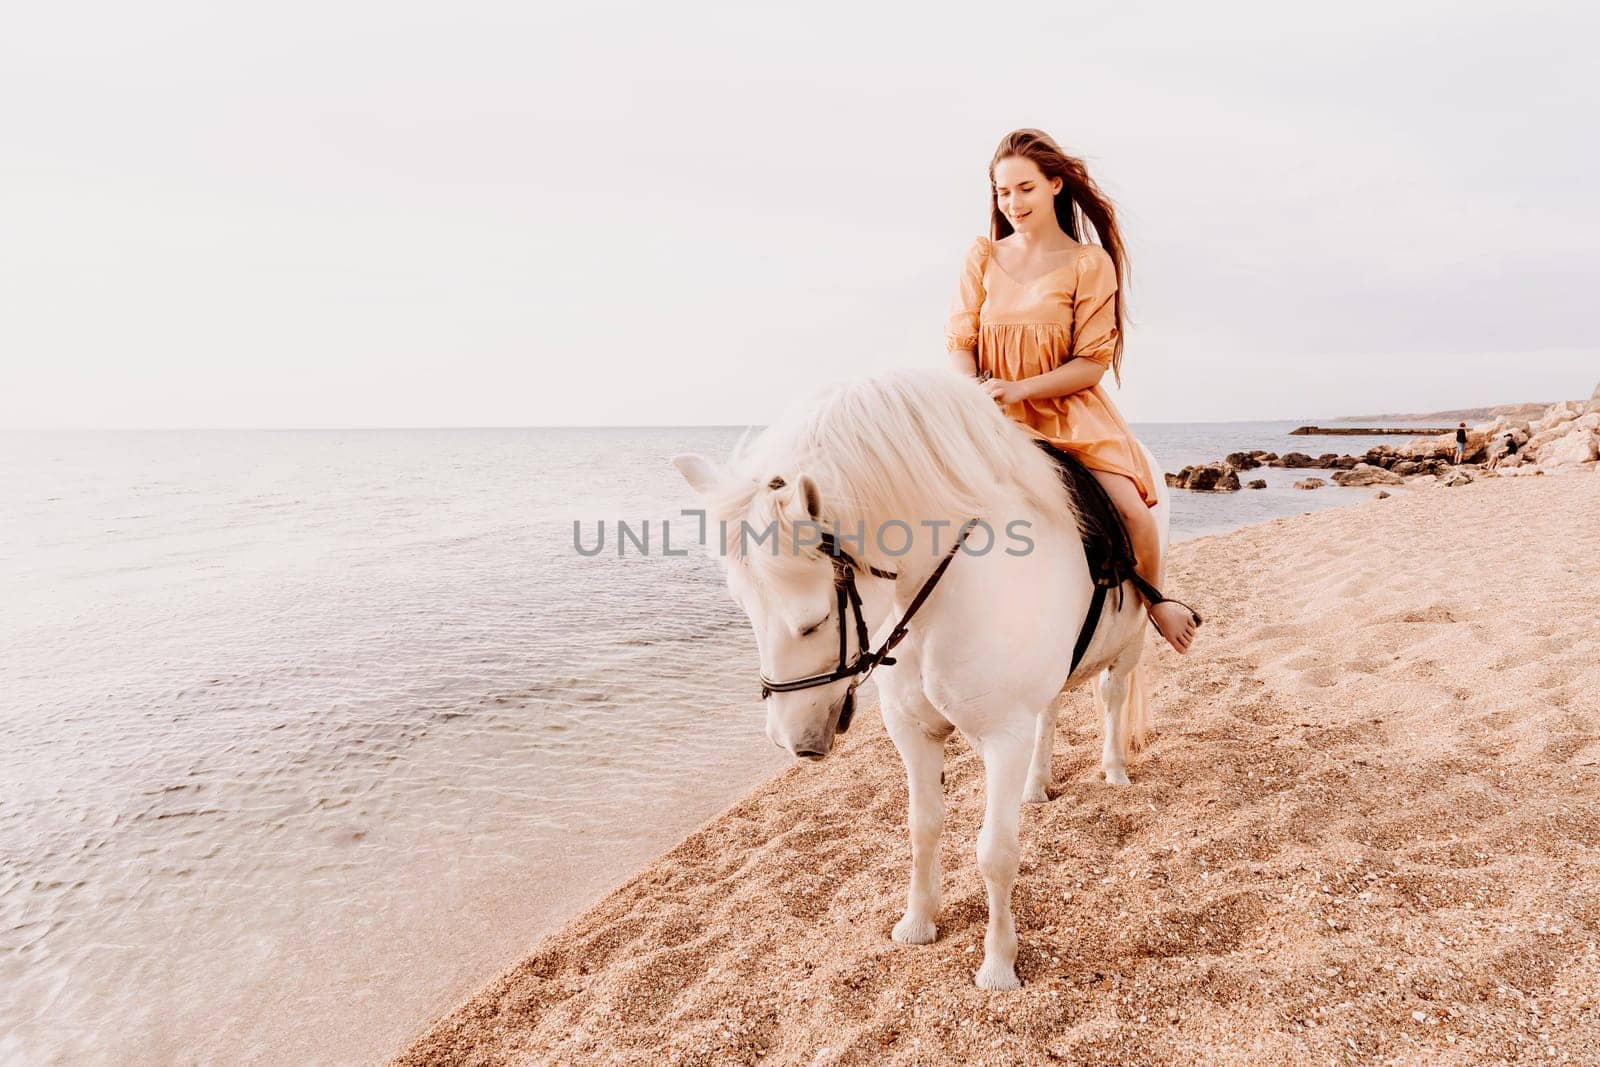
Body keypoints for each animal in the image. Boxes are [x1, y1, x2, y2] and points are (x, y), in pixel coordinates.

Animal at [668, 367, 1171, 991]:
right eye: (743, 611)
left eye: (813, 622)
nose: (792, 741)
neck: (944, 591)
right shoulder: (913, 732)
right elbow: (922, 827)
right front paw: (917, 923)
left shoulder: (1002, 738)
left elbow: (995, 853)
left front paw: (998, 964)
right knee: (1051, 712)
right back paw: (1036, 786)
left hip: (1130, 644)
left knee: (1111, 696)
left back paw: (1115, 771)